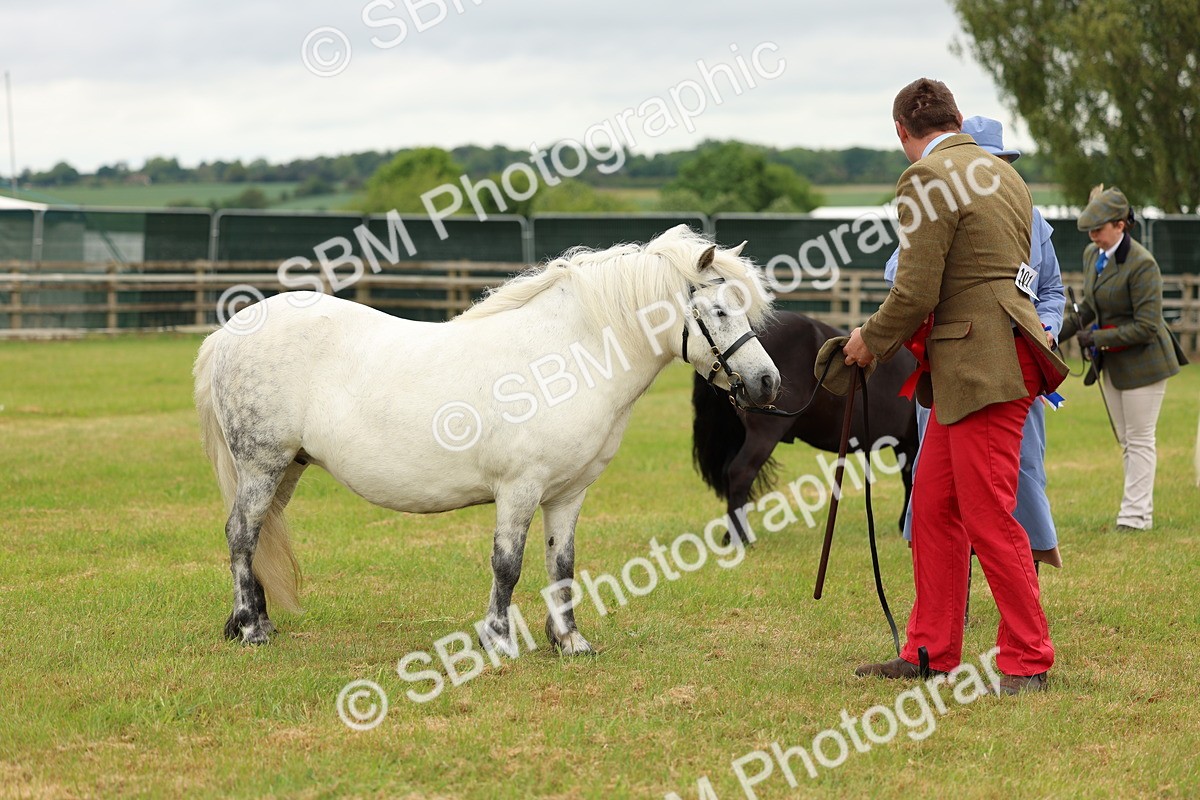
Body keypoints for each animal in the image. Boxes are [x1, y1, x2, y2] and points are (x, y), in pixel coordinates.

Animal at [194, 225, 780, 653]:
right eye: (720, 310)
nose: (767, 383)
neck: (568, 356)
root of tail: (229, 332)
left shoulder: (568, 494)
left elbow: (561, 564)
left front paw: (568, 641)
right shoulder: (519, 489)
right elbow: (508, 564)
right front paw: (498, 640)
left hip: (287, 468)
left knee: (256, 534)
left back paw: (253, 621)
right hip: (262, 465)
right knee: (241, 535)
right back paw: (251, 629)